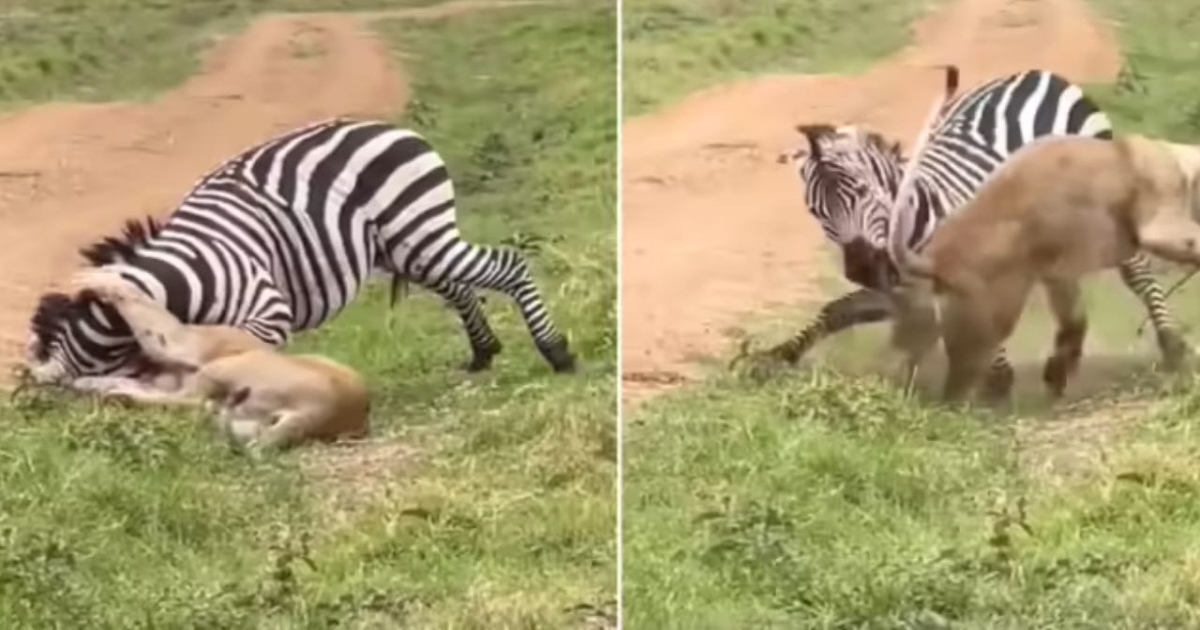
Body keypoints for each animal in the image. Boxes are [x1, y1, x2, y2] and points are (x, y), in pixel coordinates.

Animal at [25, 117, 576, 389]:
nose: (30, 391)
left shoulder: (266, 311)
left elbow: (245, 357)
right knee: (460, 285)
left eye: (57, 342)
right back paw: (483, 353)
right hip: (408, 244)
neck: (185, 280)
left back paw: (557, 354)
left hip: (420, 230)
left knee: (506, 266)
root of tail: (398, 129)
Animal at [754, 68, 1189, 389]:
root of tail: (1038, 73)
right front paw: (777, 355)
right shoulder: (902, 292)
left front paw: (995, 382)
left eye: (862, 191)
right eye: (816, 210)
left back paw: (1172, 347)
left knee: (1137, 271)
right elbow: (836, 311)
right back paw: (1061, 364)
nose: (861, 269)